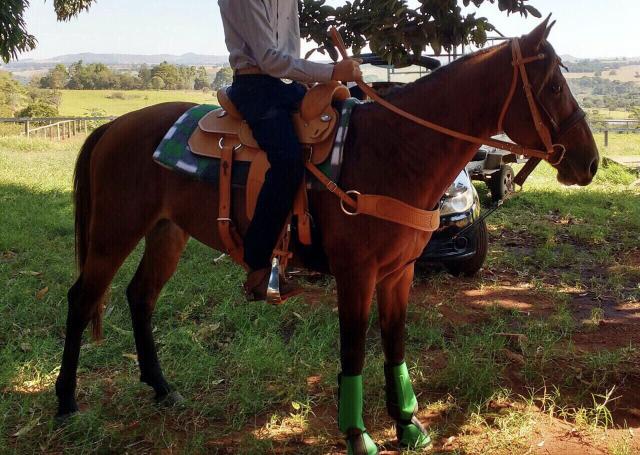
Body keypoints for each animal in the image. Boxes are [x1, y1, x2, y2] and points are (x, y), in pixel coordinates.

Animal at [55, 18, 598, 454]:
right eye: (553, 86)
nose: (589, 162)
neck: (395, 150)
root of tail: (112, 127)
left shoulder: (399, 275)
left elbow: (396, 344)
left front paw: (408, 425)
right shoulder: (356, 275)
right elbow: (354, 348)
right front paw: (358, 435)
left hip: (167, 233)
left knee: (140, 296)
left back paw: (163, 388)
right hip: (113, 232)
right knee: (82, 299)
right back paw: (65, 405)